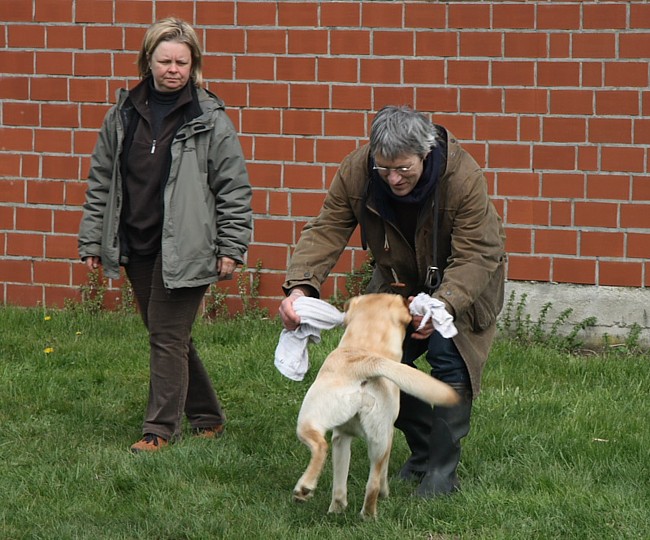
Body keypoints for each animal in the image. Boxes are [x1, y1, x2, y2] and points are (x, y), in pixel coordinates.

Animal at [292, 296, 458, 520]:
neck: (365, 344)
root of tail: (363, 364)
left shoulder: (342, 437)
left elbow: (340, 483)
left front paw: (337, 508)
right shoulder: (384, 435)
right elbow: (380, 475)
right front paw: (384, 494)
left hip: (314, 421)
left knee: (325, 452)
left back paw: (316, 494)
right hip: (378, 439)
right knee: (372, 483)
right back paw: (367, 515)